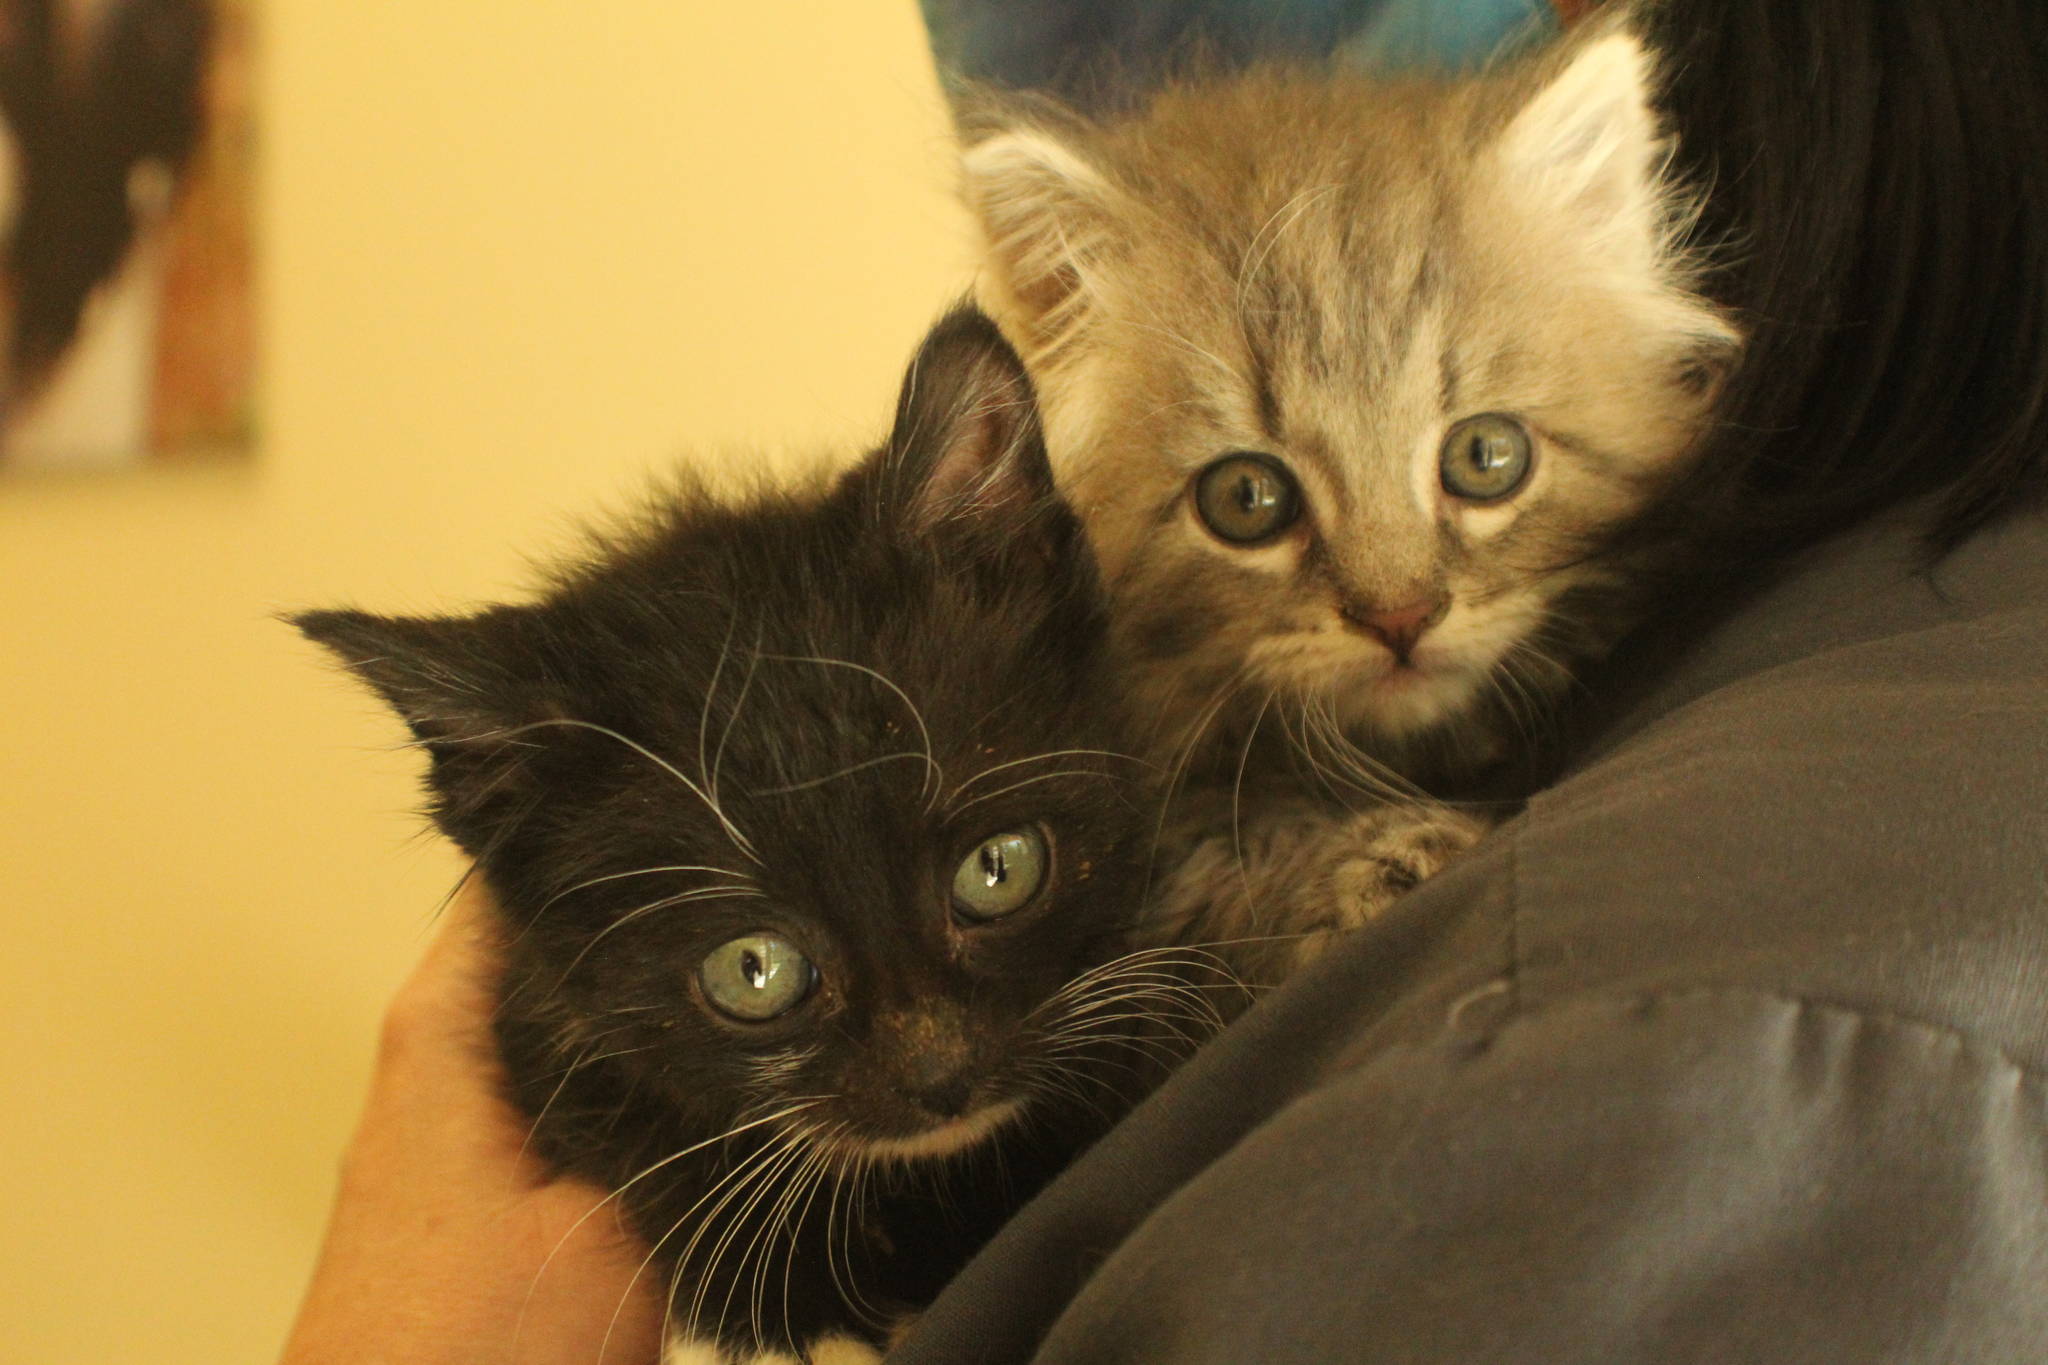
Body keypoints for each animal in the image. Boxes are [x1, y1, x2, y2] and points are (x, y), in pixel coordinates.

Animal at [299, 313, 1196, 1365]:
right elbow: (652, 1131)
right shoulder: (528, 1010)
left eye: (998, 868)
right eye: (752, 970)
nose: (941, 1078)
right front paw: (768, 1325)